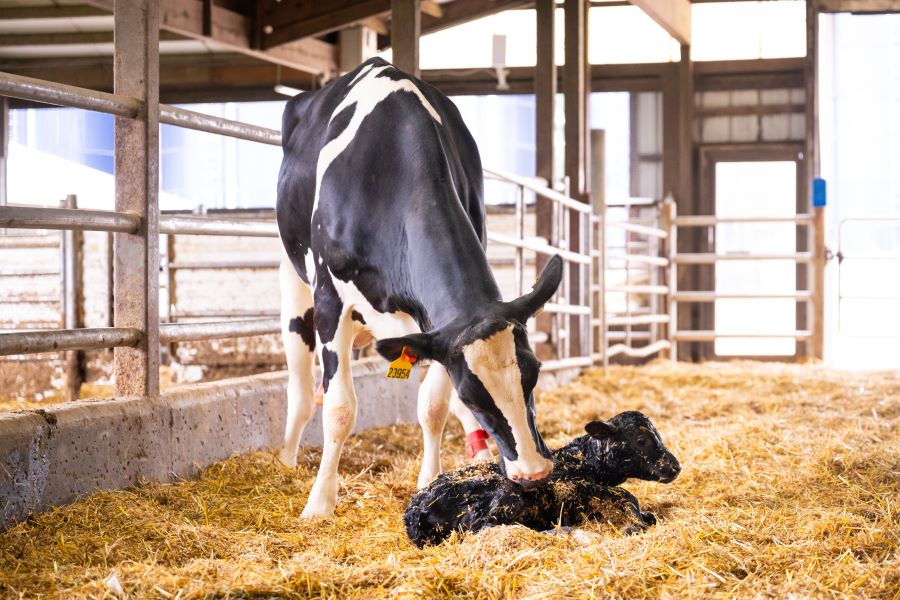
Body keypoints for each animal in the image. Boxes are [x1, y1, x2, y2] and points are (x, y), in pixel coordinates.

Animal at [275, 57, 562, 518]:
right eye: (474, 394)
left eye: (533, 375)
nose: (533, 473)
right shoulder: (331, 298)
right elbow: (339, 408)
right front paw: (319, 503)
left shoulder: (438, 329)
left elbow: (433, 404)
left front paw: (430, 480)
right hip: (293, 280)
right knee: (301, 386)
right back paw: (286, 460)